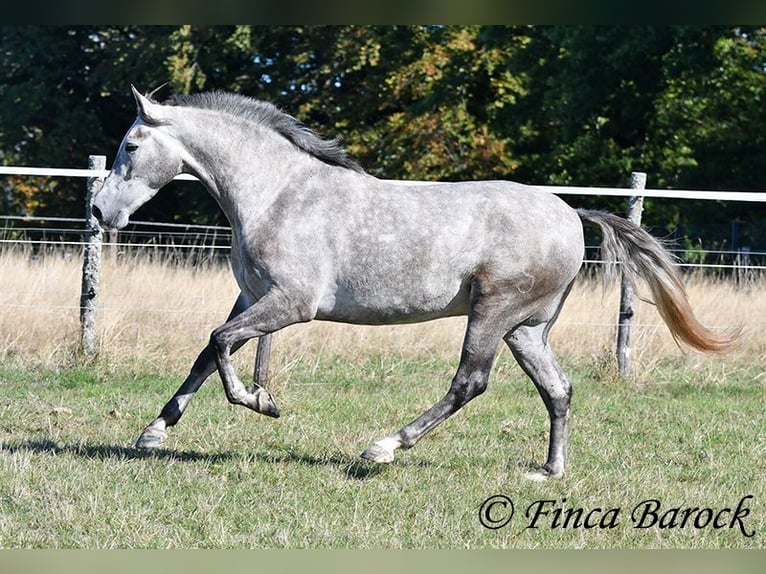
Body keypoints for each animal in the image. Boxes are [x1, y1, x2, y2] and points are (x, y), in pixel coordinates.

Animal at [93, 86, 734, 480]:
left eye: (130, 146)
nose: (100, 212)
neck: (277, 193)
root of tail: (573, 214)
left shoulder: (291, 304)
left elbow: (222, 344)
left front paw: (261, 403)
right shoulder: (253, 297)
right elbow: (207, 351)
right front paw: (153, 433)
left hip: (492, 314)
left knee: (470, 383)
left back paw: (382, 448)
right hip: (527, 329)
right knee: (558, 390)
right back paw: (548, 472)